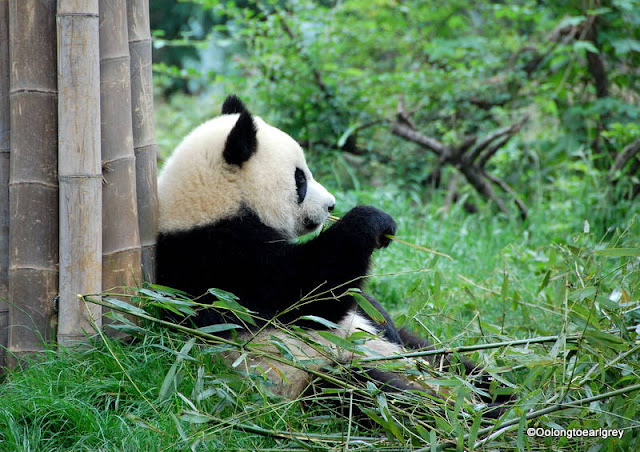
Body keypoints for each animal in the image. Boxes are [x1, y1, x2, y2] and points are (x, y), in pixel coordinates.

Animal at [155, 95, 510, 414]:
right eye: (299, 179)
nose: (331, 205)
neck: (213, 204)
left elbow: (360, 303)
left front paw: (381, 311)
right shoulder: (221, 264)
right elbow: (311, 295)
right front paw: (373, 221)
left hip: (413, 352)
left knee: (449, 360)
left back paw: (500, 396)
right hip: (308, 372)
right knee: (378, 396)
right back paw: (468, 414)